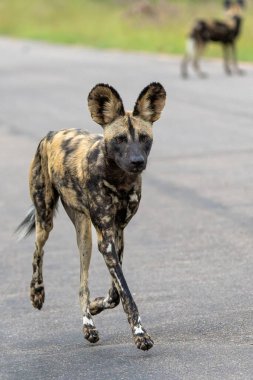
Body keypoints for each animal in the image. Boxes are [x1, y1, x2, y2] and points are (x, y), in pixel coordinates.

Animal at [16, 82, 166, 350]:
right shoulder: (106, 240)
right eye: (119, 139)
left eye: (144, 138)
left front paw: (98, 305)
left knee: (81, 284)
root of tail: (51, 133)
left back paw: (89, 323)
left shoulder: (117, 234)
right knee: (38, 251)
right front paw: (140, 334)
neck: (120, 181)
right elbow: (126, 294)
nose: (137, 161)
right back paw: (38, 294)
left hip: (84, 235)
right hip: (45, 219)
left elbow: (116, 294)